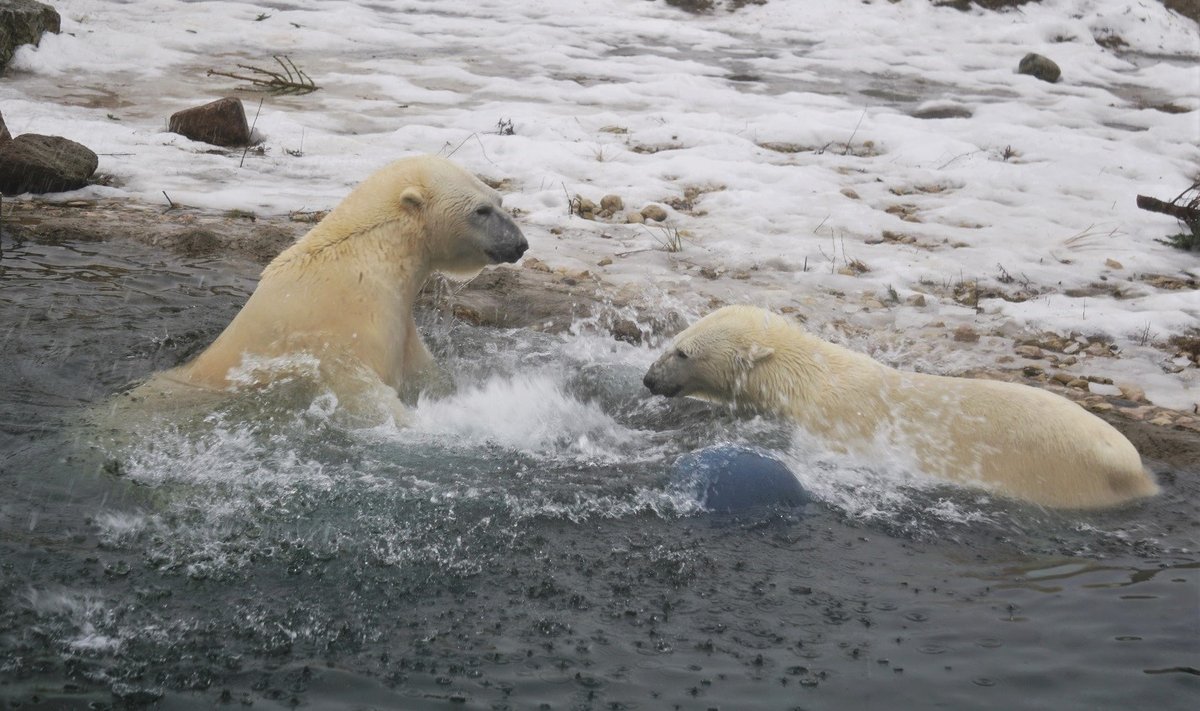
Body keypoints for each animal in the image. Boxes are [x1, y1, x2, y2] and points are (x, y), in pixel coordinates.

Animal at [130, 157, 525, 415]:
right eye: (481, 211)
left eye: (500, 201)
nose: (520, 244)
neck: (367, 252)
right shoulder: (347, 327)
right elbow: (364, 393)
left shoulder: (402, 329)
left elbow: (425, 371)